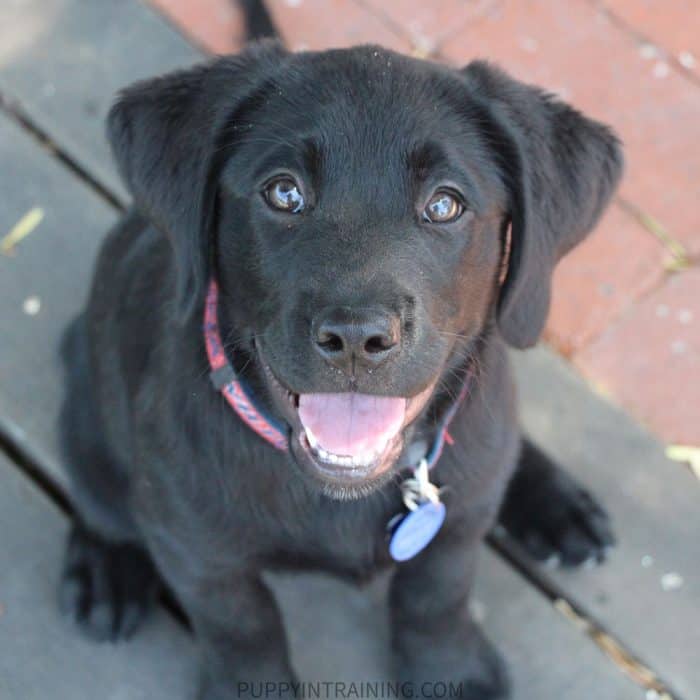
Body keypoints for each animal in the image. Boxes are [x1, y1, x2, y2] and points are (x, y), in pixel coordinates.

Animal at [58, 42, 616, 700]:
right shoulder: (198, 554)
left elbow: (437, 594)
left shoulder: (457, 524)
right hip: (91, 395)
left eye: (444, 204)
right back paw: (106, 566)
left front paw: (450, 673)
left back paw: (558, 504)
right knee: (97, 484)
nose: (355, 337)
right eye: (284, 193)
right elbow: (242, 632)